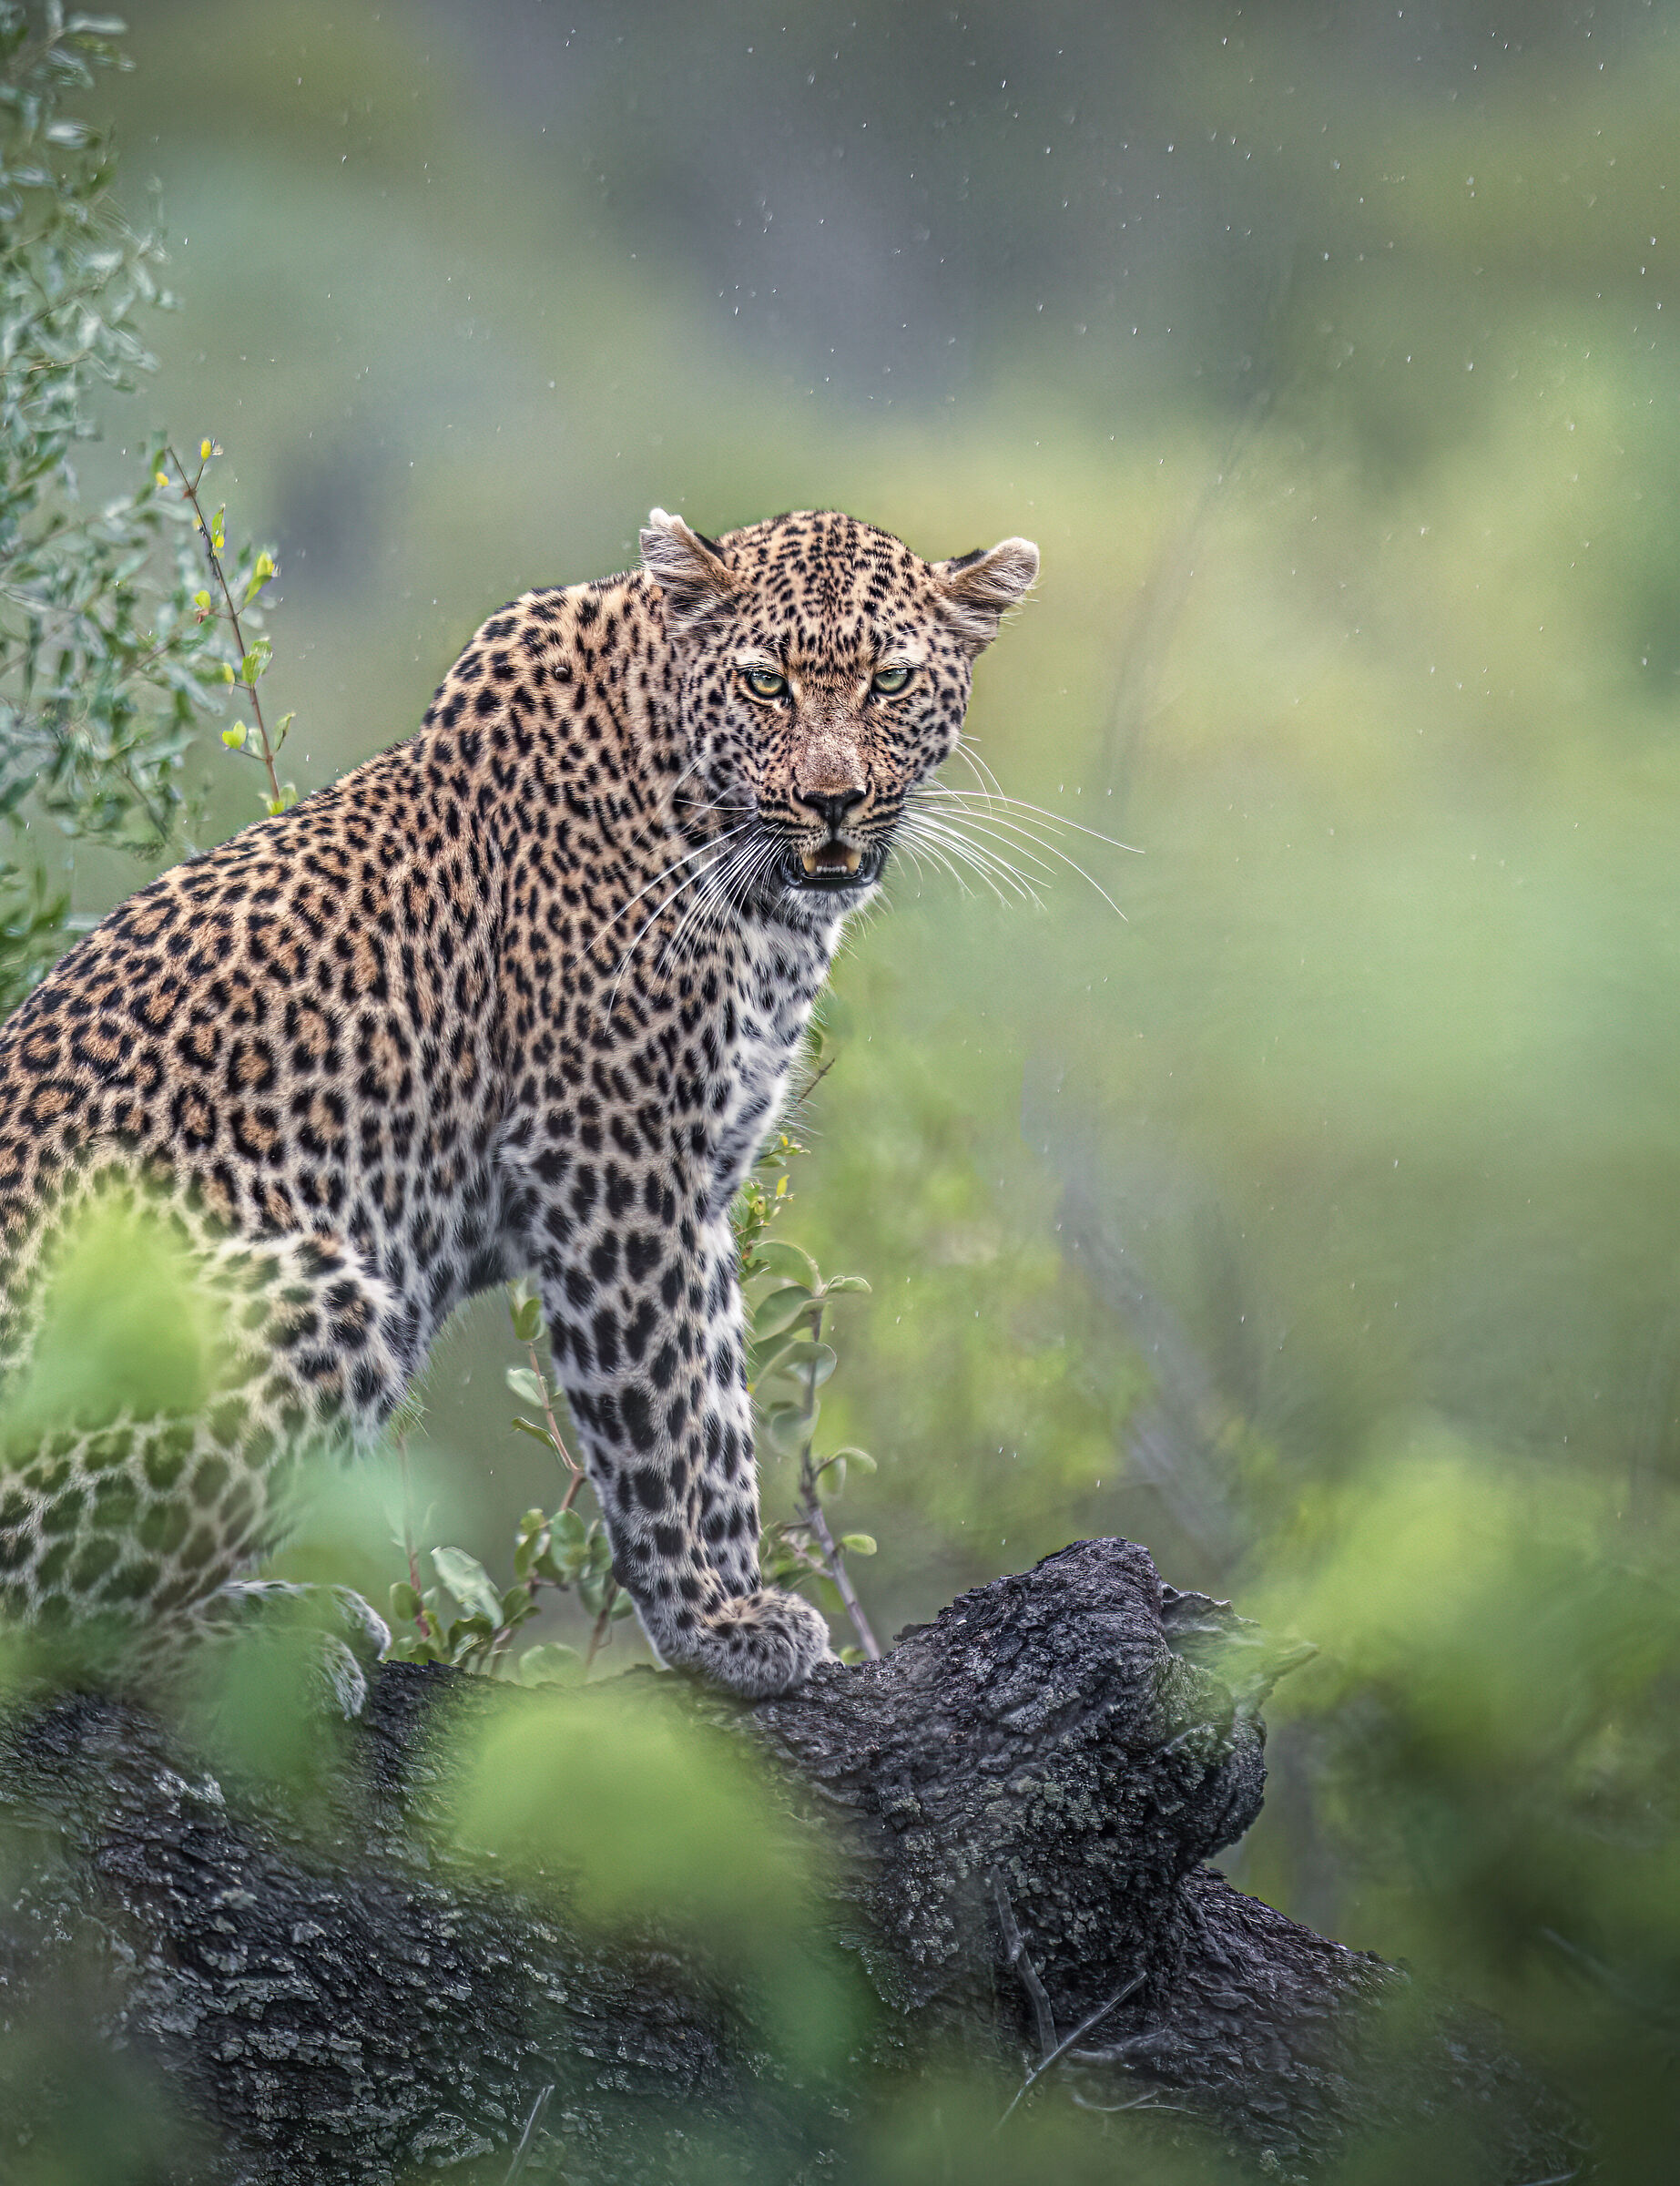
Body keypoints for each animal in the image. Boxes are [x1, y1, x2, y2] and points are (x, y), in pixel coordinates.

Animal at [0, 507, 1038, 1701]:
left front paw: (744, 1605)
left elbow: (721, 1406)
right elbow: (658, 1417)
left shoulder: (698, 1179)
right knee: (52, 1623)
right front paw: (709, 1624)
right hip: (307, 1291)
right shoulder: (608, 1156)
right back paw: (271, 1642)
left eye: (892, 679)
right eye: (766, 683)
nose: (833, 801)